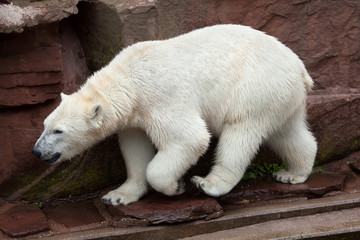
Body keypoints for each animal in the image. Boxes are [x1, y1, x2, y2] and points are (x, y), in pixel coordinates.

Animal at [32, 23, 316, 204]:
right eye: (44, 124)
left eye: (58, 131)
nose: (36, 151)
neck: (129, 81)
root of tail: (300, 69)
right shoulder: (133, 117)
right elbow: (135, 147)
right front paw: (118, 196)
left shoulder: (161, 97)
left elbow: (189, 138)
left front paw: (174, 186)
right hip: (280, 96)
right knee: (287, 132)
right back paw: (293, 173)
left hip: (255, 87)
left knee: (240, 133)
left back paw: (209, 183)